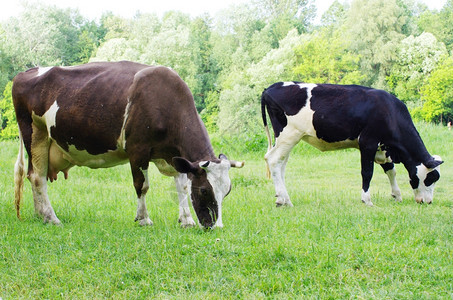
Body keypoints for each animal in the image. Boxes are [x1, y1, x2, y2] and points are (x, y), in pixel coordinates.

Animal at [11, 61, 244, 230]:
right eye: (204, 191)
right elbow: (142, 185)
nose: (216, 227)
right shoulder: (137, 149)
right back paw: (51, 217)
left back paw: (40, 213)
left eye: (228, 190)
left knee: (33, 176)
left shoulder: (174, 155)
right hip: (35, 133)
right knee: (38, 177)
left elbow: (182, 186)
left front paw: (186, 219)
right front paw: (143, 219)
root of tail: (26, 72)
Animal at [262, 82, 442, 209]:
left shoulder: (382, 148)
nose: (428, 202)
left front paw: (397, 195)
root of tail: (272, 87)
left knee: (281, 163)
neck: (390, 111)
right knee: (273, 160)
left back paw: (283, 198)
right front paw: (367, 200)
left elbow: (391, 170)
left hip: (285, 139)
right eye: (431, 178)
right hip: (289, 135)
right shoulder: (368, 142)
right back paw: (284, 200)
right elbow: (367, 172)